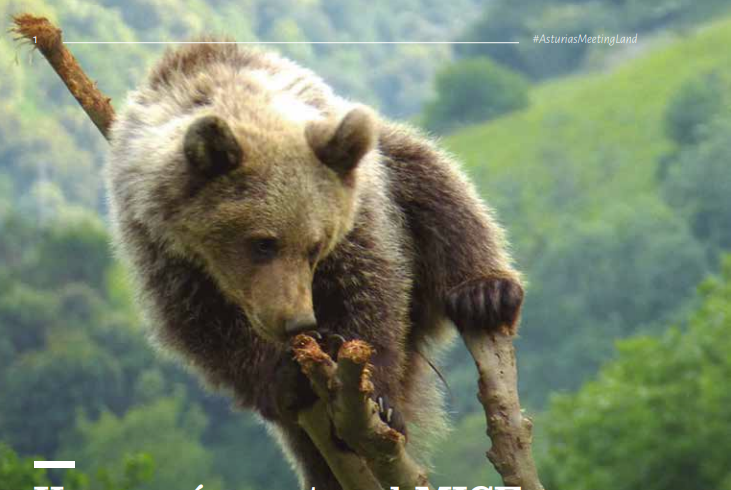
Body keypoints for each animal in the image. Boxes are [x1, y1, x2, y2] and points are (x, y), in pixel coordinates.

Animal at [105, 43, 523, 490]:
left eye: (315, 246)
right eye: (262, 243)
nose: (299, 321)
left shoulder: (358, 214)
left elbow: (374, 286)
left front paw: (380, 400)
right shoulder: (159, 245)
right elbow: (197, 324)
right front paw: (283, 377)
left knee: (435, 184)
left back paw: (485, 292)